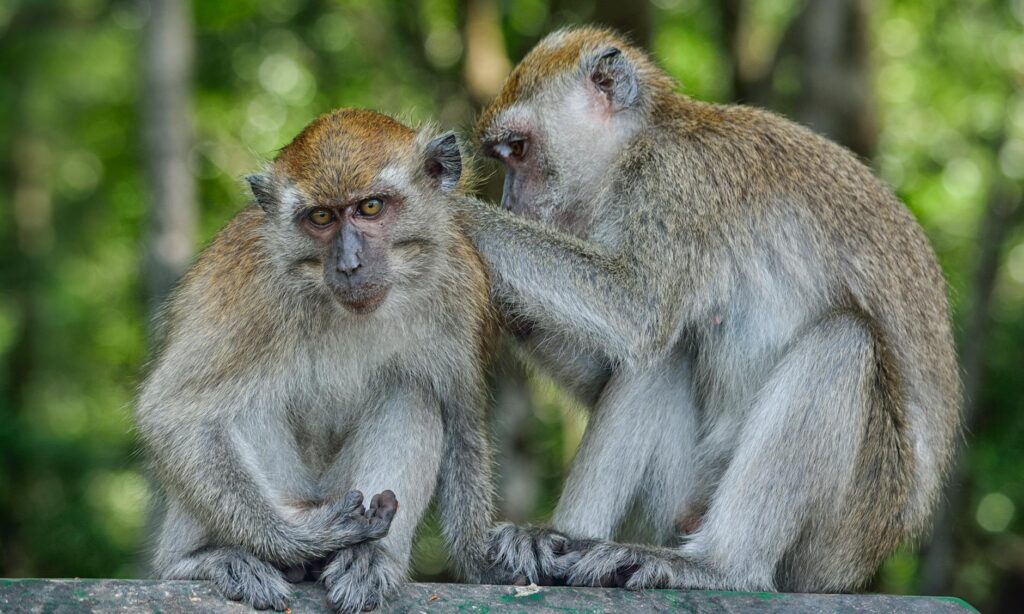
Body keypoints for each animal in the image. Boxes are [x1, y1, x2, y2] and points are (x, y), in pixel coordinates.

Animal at [136, 108, 498, 612]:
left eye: (370, 207)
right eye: (321, 217)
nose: (348, 264)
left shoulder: (459, 285)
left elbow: (461, 418)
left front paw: (487, 557)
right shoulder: (251, 288)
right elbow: (173, 413)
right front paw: (297, 538)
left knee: (413, 392)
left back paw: (369, 560)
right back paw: (210, 559)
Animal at [459, 26, 961, 592]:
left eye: (517, 151)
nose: (510, 203)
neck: (643, 139)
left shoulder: (675, 186)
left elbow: (637, 308)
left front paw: (447, 212)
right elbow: (620, 358)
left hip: (847, 527)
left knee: (843, 342)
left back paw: (719, 565)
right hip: (691, 492)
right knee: (666, 357)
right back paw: (560, 540)